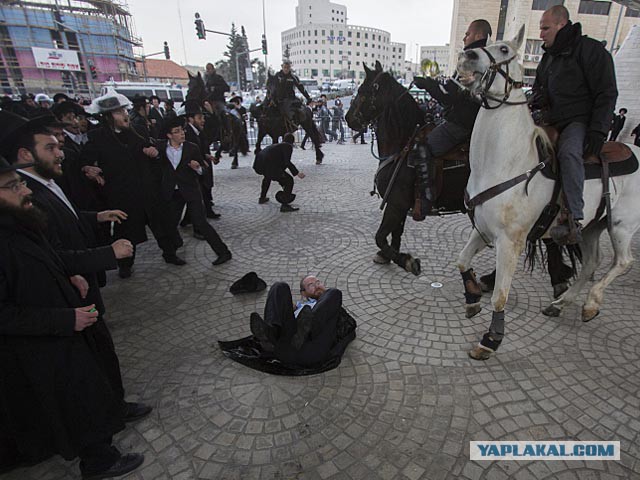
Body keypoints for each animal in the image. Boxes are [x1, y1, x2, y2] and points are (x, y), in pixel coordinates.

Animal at [452, 24, 640, 358]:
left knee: (622, 262)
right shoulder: (483, 230)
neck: (505, 161)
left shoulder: (510, 242)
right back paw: (561, 303)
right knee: (591, 262)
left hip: (621, 226)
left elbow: (500, 295)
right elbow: (462, 261)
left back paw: (591, 303)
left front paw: (491, 339)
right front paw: (472, 297)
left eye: (504, 49)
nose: (468, 56)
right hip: (590, 227)